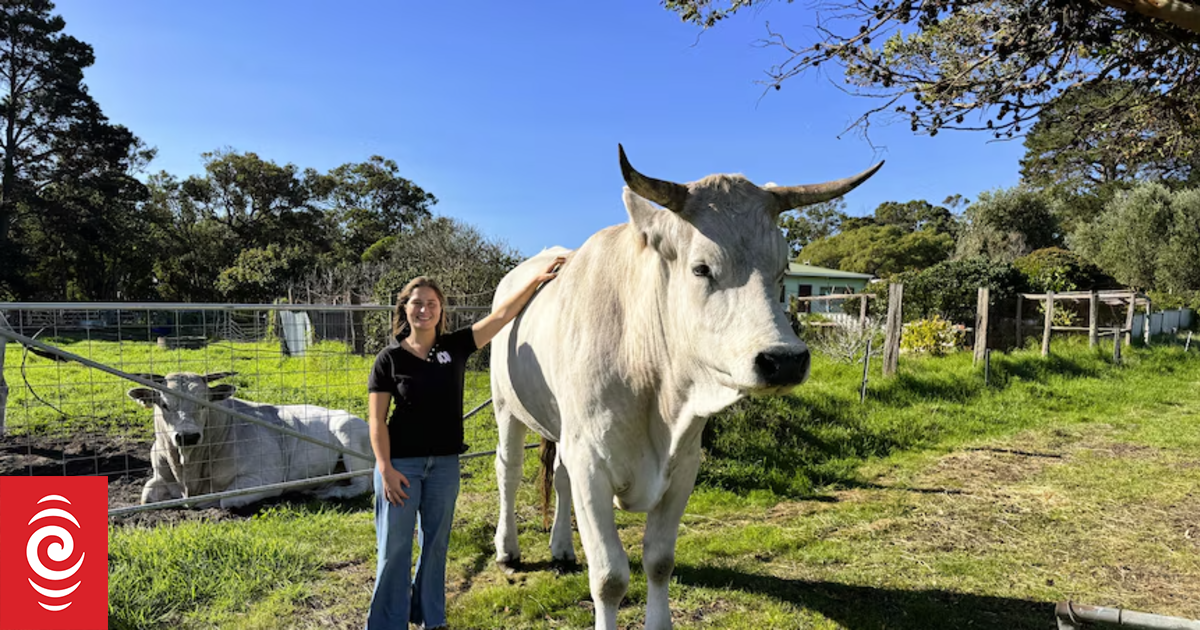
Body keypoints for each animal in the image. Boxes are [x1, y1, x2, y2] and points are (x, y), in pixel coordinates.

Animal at [127, 371, 374, 510]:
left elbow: (225, 500)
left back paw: (331, 493)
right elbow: (146, 495)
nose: (187, 436)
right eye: (164, 404)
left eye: (204, 403)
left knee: (362, 484)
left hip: (348, 433)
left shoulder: (265, 479)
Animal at [488, 145, 883, 630]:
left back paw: (562, 549)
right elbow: (609, 577)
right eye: (701, 268)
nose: (784, 360)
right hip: (507, 407)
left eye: (782, 270)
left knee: (559, 477)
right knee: (508, 471)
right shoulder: (592, 465)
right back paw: (507, 549)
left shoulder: (681, 466)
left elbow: (659, 561)